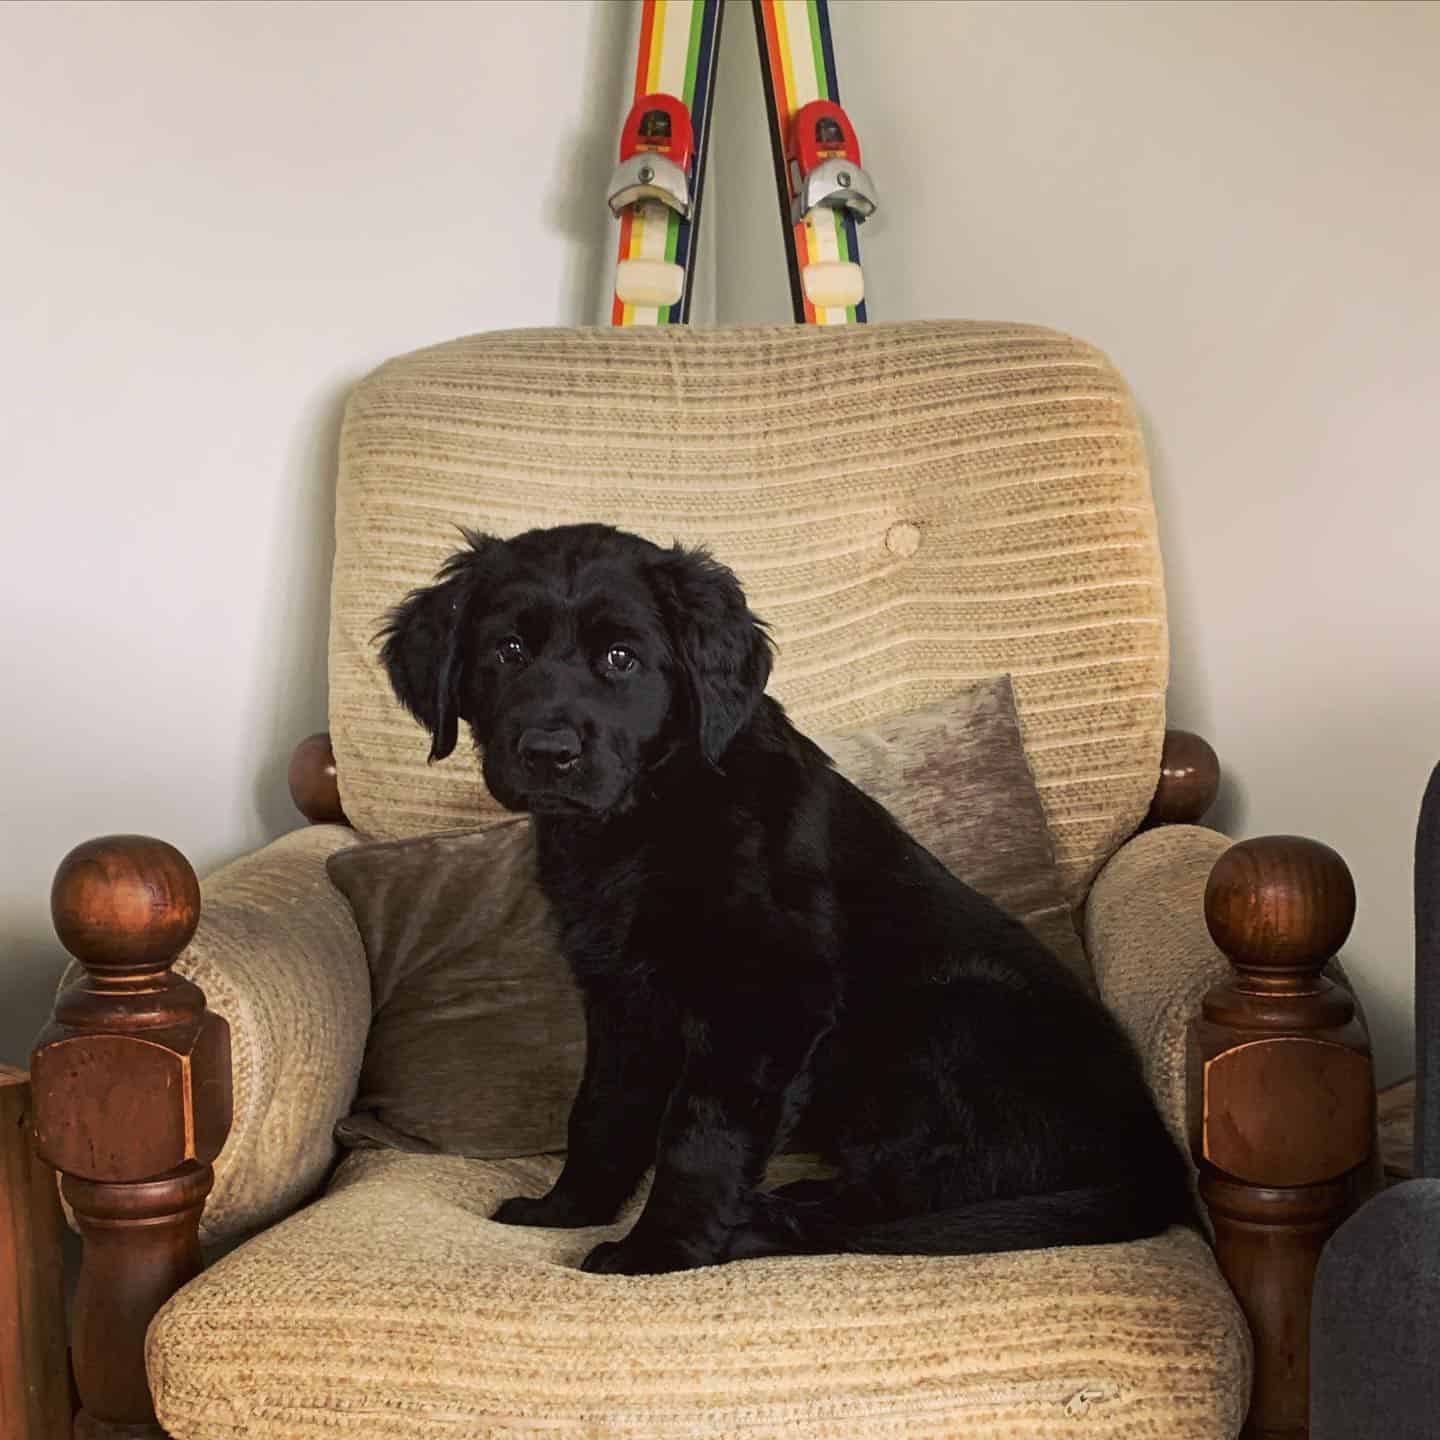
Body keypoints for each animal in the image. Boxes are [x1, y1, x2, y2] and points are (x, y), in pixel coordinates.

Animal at [377, 524, 1186, 1278]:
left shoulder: (767, 999)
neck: (647, 823)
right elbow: (603, 1110)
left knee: (911, 1196)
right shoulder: (621, 999)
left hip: (950, 1013)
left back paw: (761, 1223)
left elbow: (701, 1135)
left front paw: (659, 1249)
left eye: (621, 659)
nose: (548, 752)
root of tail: (1153, 1157)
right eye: (508, 651)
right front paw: (568, 1208)